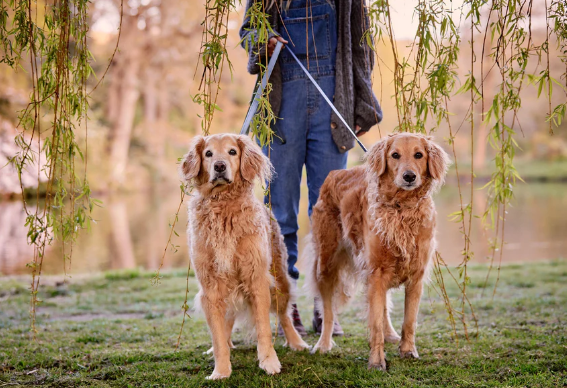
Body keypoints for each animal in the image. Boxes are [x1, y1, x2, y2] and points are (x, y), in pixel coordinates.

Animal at [181, 133, 306, 378]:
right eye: (208, 153)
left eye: (232, 151)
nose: (219, 166)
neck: (223, 203)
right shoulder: (211, 286)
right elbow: (218, 335)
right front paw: (221, 371)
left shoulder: (257, 279)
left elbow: (264, 328)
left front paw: (269, 362)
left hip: (280, 281)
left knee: (285, 316)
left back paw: (297, 343)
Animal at [308, 133, 450, 370]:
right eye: (395, 155)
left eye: (418, 155)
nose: (409, 176)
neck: (402, 209)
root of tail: (335, 174)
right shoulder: (376, 272)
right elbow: (374, 325)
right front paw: (376, 361)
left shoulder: (415, 276)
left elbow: (409, 321)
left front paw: (408, 351)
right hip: (326, 264)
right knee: (327, 310)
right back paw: (323, 344)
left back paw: (390, 334)